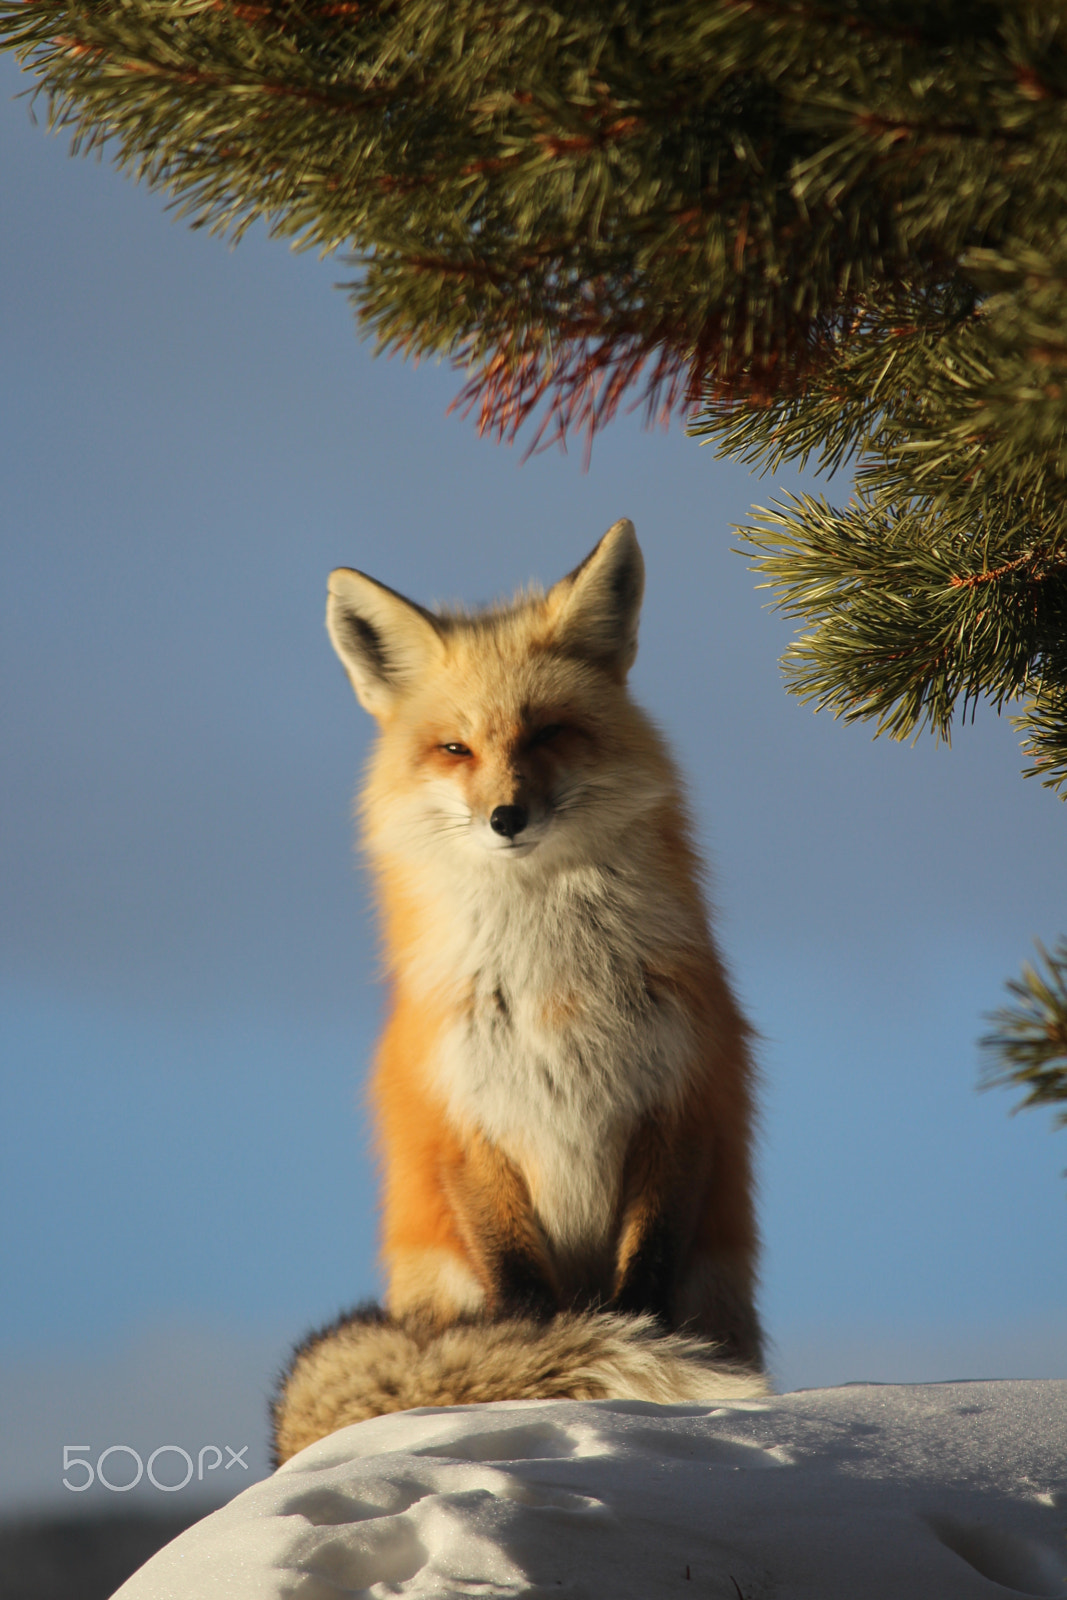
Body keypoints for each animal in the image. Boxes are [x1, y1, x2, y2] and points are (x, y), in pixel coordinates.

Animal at [273, 520, 767, 1463]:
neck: (552, 989)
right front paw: (537, 1380)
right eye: (455, 749)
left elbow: (641, 1283)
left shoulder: (676, 1102)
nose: (507, 818)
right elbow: (527, 1297)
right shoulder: (467, 1123)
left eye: (547, 734)